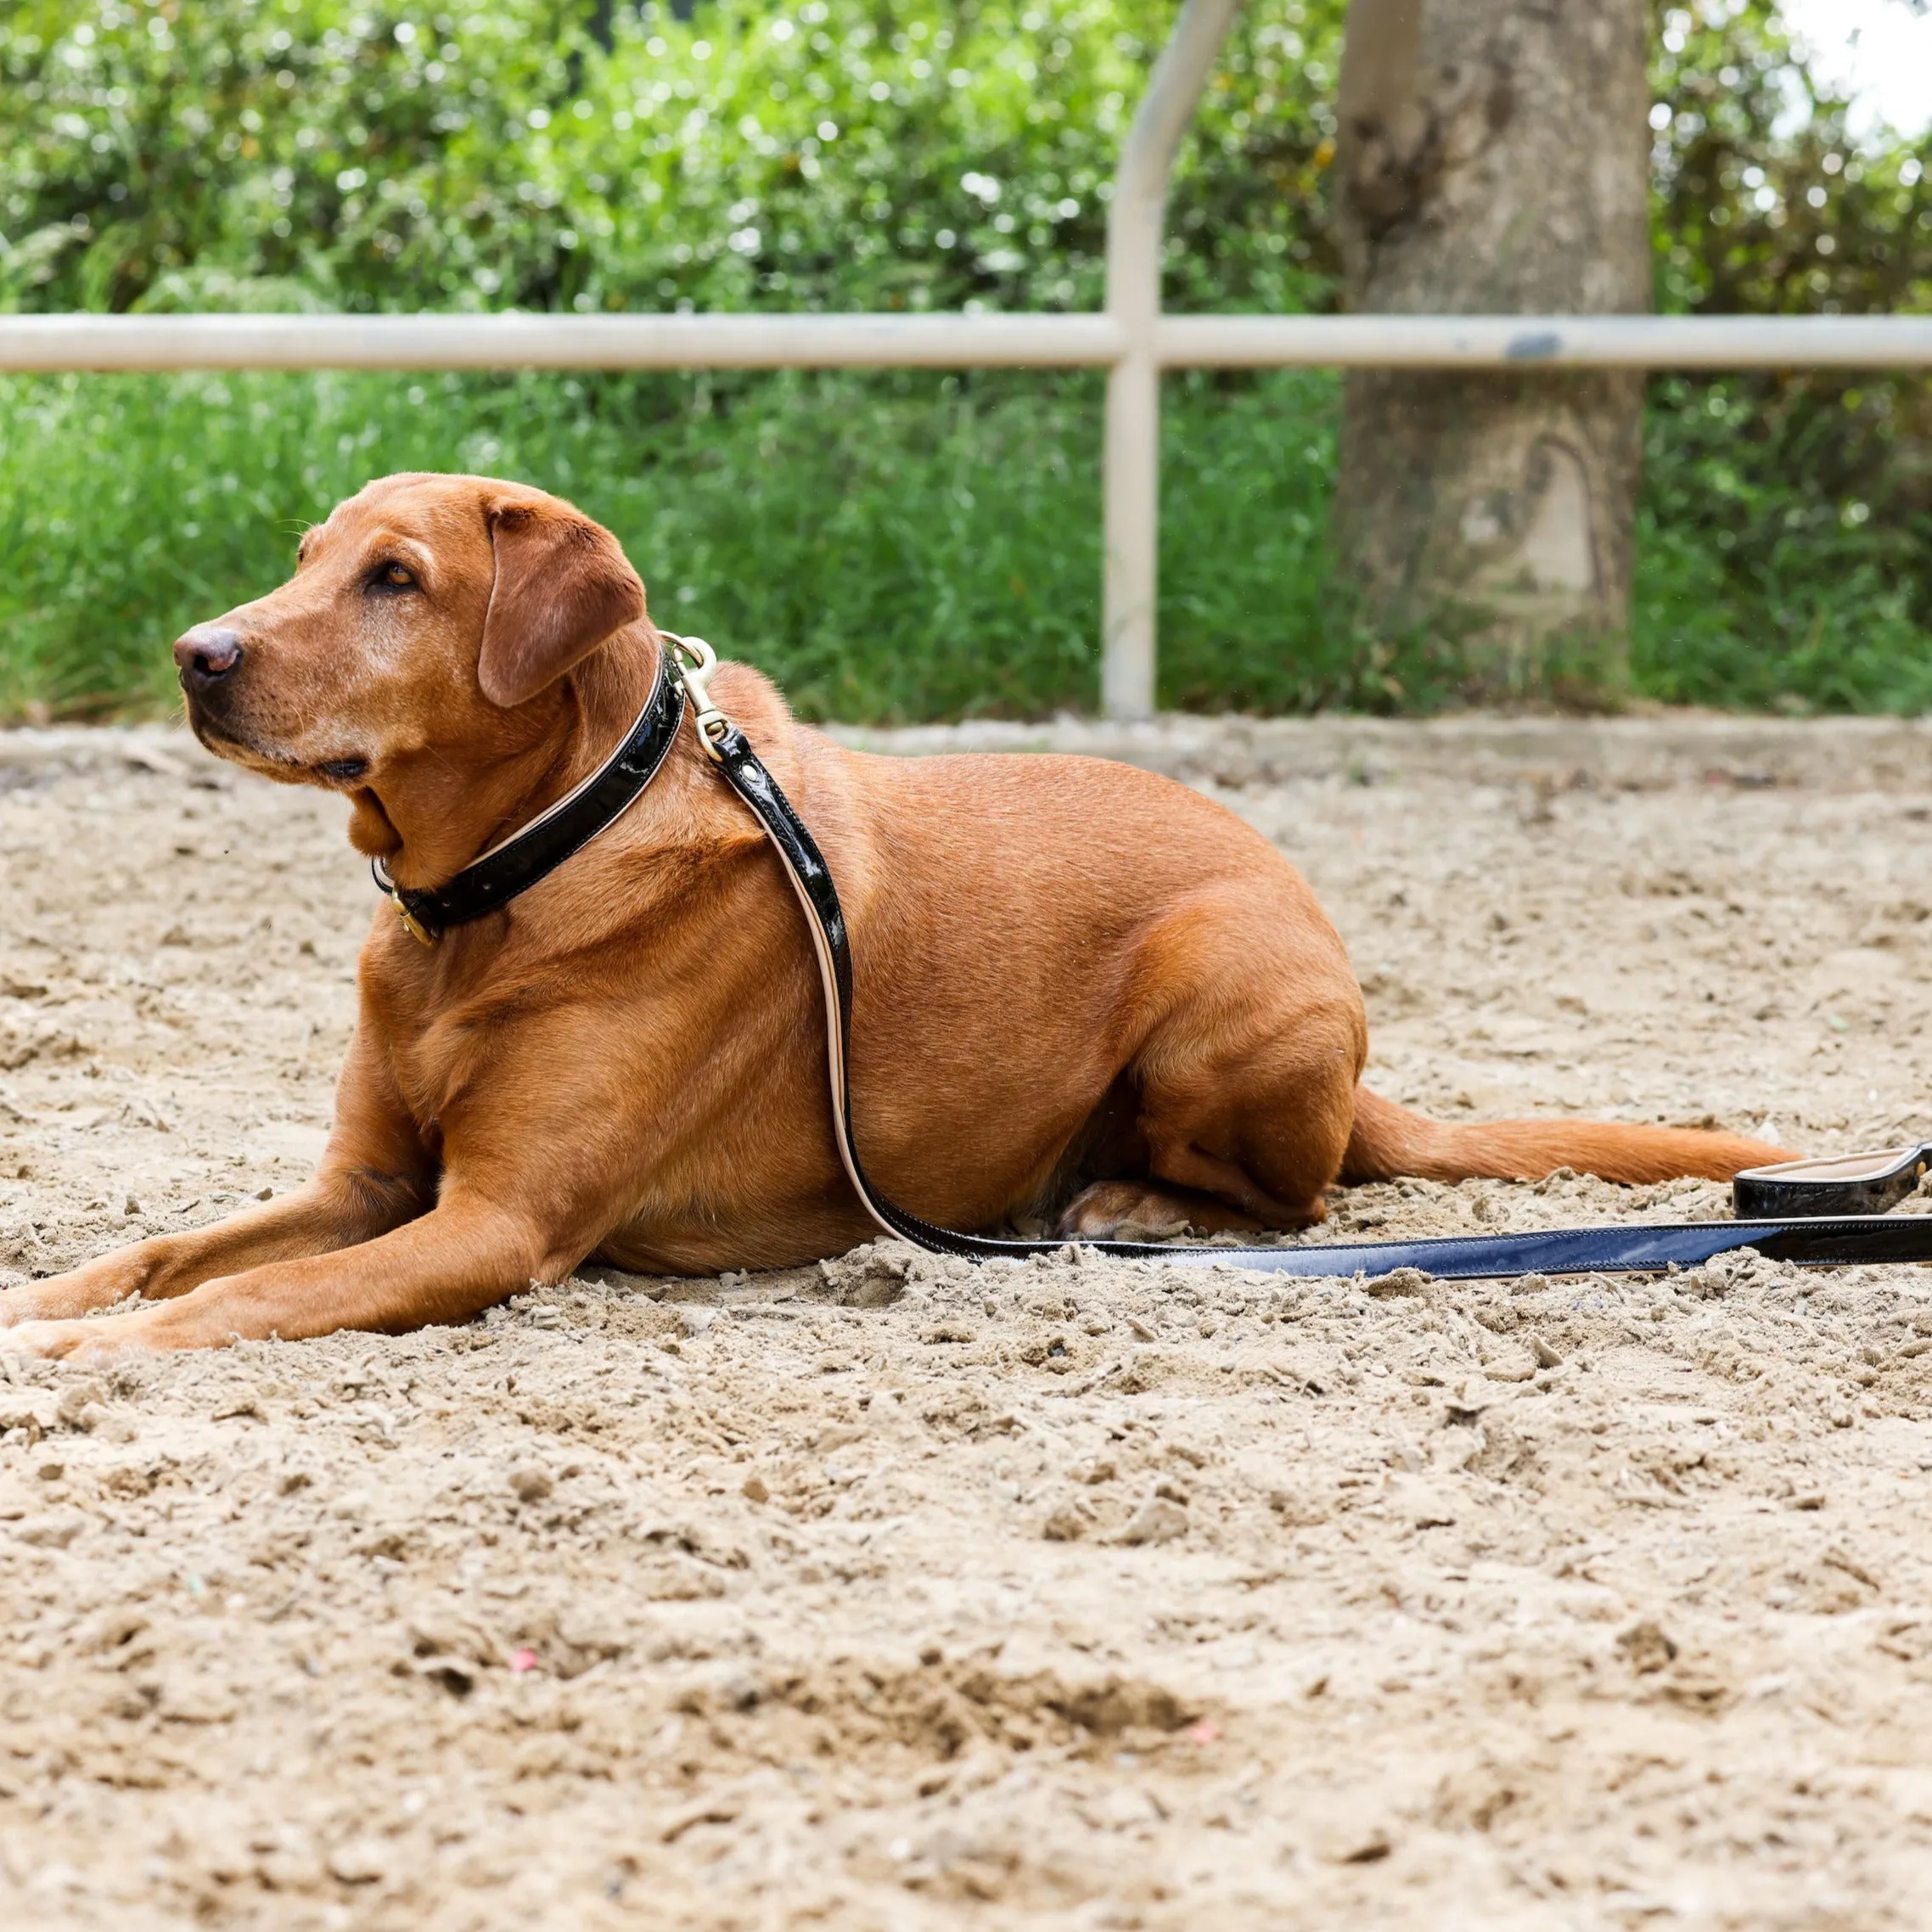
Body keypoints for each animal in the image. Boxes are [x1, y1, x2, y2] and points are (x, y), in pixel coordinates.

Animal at [3, 471, 1793, 1360]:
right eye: (308, 558)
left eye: (395, 580)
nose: (195, 655)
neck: (496, 891)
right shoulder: (368, 1185)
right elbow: (159, 1250)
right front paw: (43, 1308)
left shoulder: (489, 1224)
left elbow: (238, 1301)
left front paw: (82, 1364)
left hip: (1227, 986)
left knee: (1298, 1200)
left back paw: (1136, 1206)